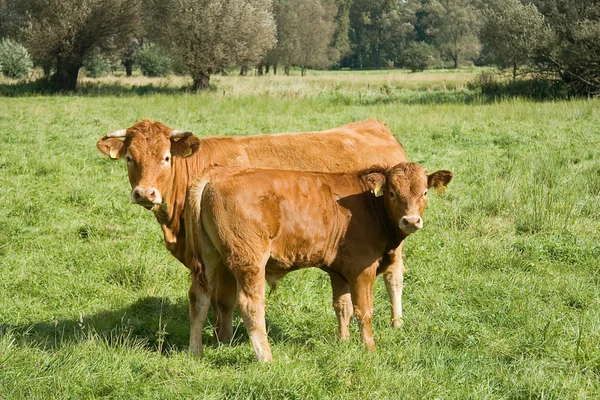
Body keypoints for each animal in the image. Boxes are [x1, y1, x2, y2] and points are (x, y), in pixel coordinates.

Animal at [96, 119, 410, 338]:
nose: (145, 193)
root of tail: (372, 125)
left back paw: (397, 322)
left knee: (394, 275)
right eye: (130, 158)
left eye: (165, 157)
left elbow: (224, 300)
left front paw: (223, 338)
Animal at [185, 161, 452, 360]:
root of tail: (218, 173)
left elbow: (342, 307)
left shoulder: (338, 270)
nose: (411, 221)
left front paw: (343, 342)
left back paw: (195, 351)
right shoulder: (362, 268)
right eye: (393, 193)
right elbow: (363, 310)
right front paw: (369, 347)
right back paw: (266, 357)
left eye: (424, 192)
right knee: (250, 305)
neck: (368, 207)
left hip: (209, 256)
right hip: (249, 259)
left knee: (199, 297)